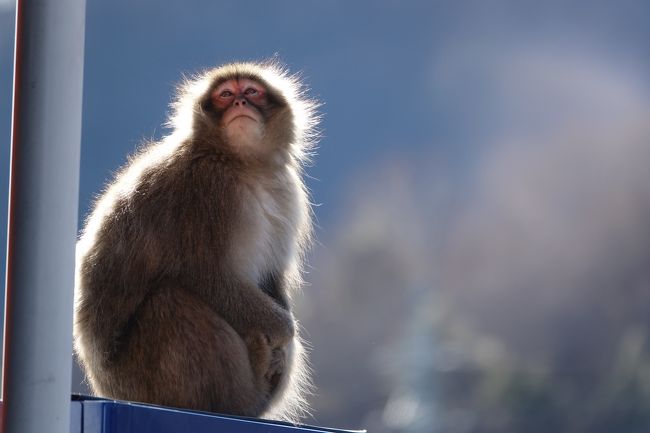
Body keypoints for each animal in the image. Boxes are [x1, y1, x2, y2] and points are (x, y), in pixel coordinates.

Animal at [73, 59, 318, 420]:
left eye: (252, 92)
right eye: (225, 95)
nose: (240, 103)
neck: (241, 163)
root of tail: (105, 386)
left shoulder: (285, 191)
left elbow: (271, 280)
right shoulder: (208, 190)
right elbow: (207, 275)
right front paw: (282, 329)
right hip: (140, 380)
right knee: (171, 301)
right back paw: (242, 398)